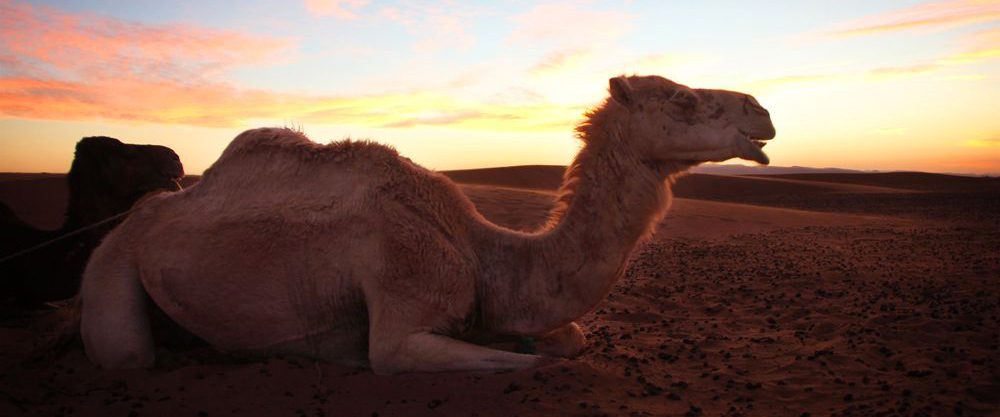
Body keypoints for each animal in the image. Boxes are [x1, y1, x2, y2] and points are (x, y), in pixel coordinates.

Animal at [80, 75, 775, 373]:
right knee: (128, 353)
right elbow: (528, 367)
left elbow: (567, 339)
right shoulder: (400, 316)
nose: (762, 111)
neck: (485, 254)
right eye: (683, 98)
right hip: (113, 261)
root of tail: (140, 214)